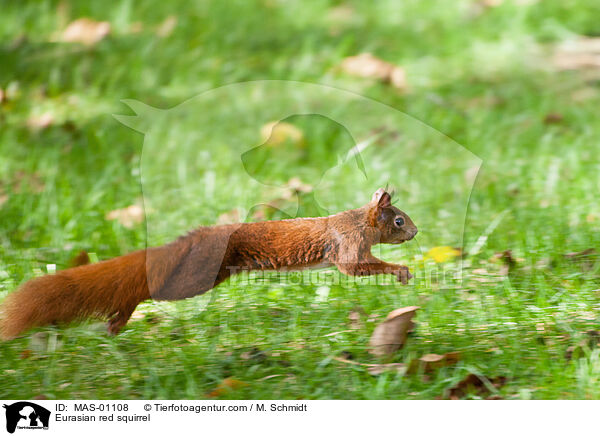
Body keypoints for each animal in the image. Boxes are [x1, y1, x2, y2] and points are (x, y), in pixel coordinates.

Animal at [0, 188, 418, 340]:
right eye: (398, 220)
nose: (415, 232)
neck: (360, 221)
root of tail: (191, 240)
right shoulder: (348, 244)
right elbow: (354, 267)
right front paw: (401, 271)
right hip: (196, 277)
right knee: (147, 288)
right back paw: (120, 317)